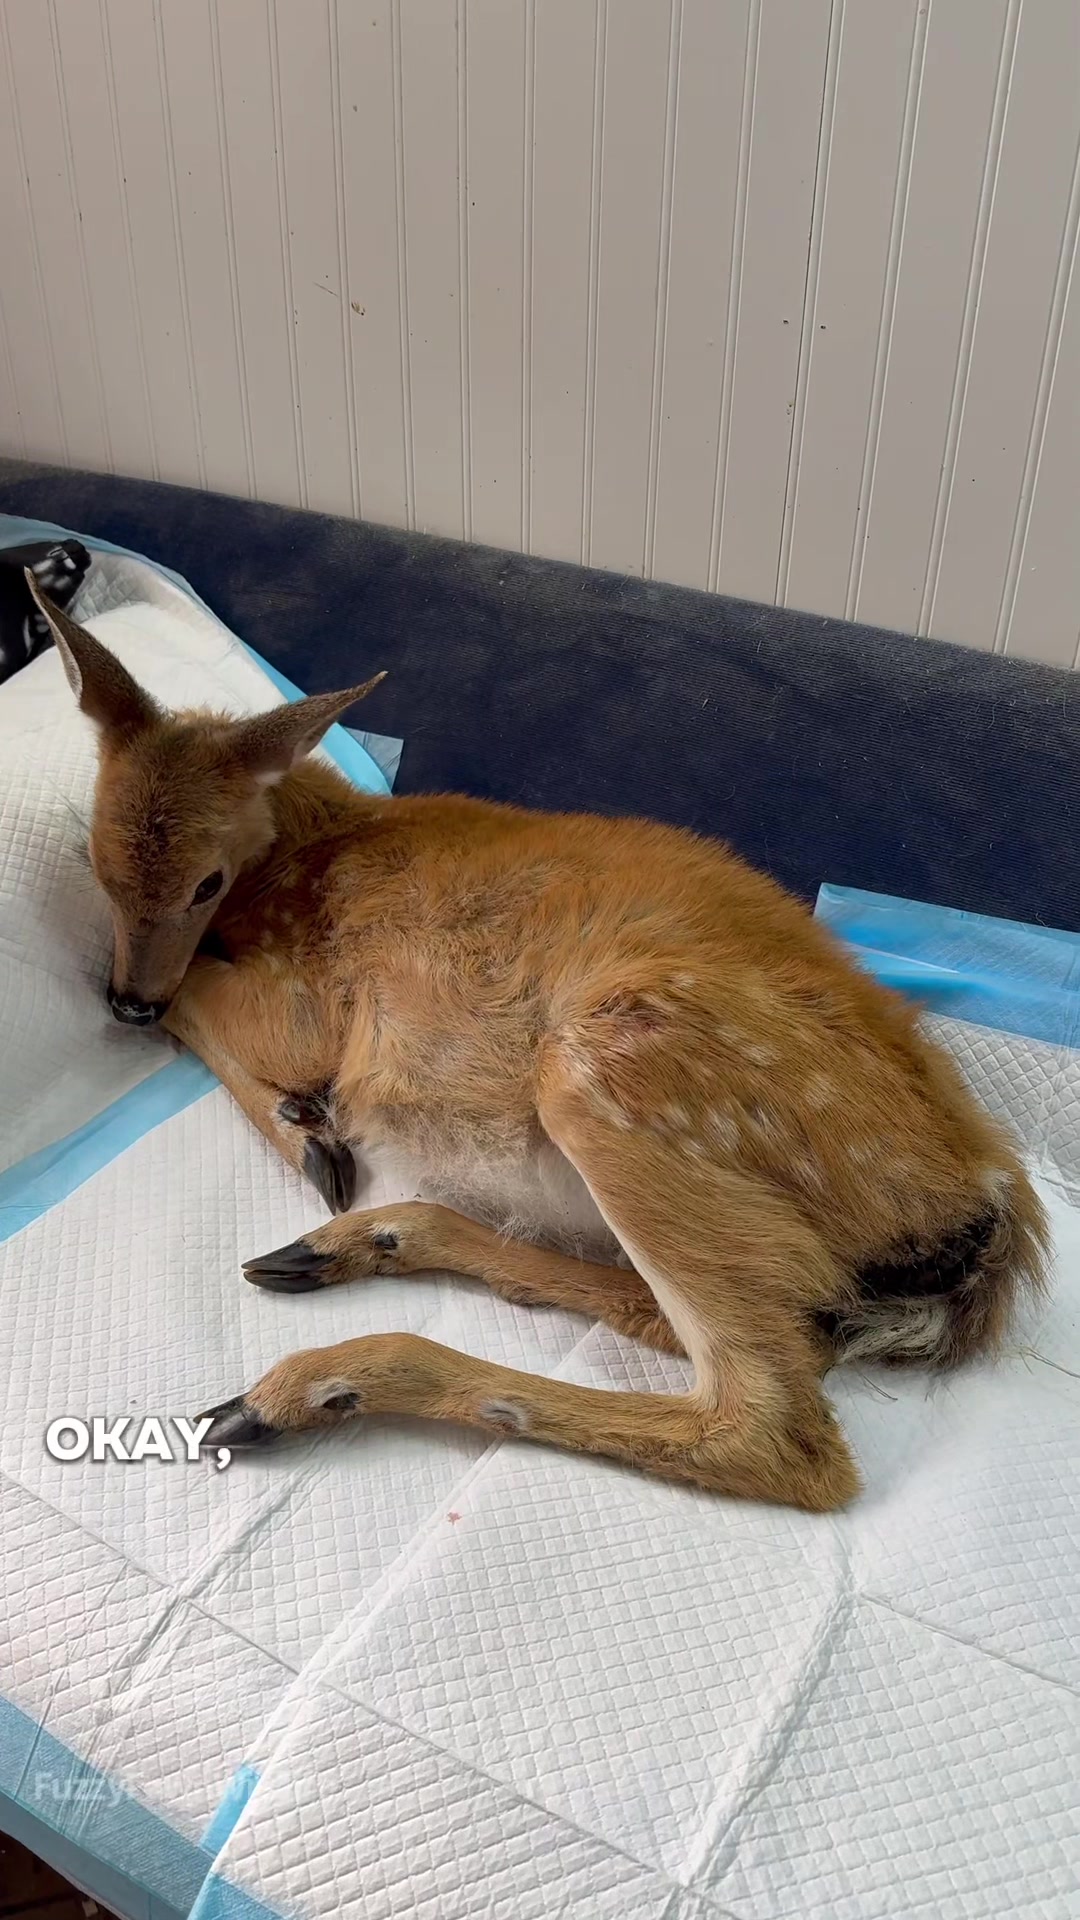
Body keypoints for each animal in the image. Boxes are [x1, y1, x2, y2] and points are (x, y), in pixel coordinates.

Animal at [29, 573, 1048, 1512]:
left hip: (613, 1073)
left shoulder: (316, 1003)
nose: (126, 999)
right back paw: (354, 1245)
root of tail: (988, 1210)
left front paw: (309, 1135)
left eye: (206, 882)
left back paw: (304, 1385)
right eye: (95, 860)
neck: (315, 849)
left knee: (777, 1432)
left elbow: (203, 1004)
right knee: (705, 1322)